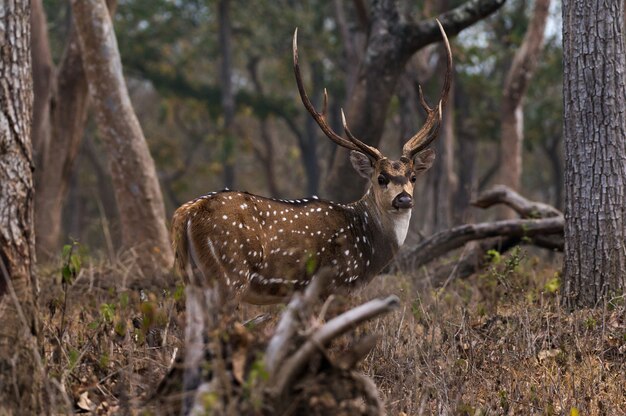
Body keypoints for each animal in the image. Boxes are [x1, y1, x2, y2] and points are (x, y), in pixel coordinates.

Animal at [173, 21, 450, 304]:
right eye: (380, 178)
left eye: (413, 176)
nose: (404, 199)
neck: (369, 250)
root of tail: (185, 214)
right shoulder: (337, 283)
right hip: (229, 273)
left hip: (190, 276)